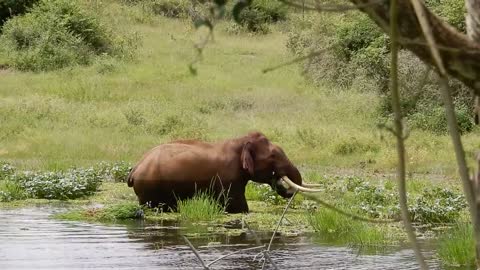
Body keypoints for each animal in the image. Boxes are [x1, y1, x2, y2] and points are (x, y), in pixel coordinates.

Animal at [127, 131, 322, 213]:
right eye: (273, 156)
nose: (278, 179)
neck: (240, 141)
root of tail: (135, 168)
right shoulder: (229, 179)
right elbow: (239, 208)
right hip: (148, 188)